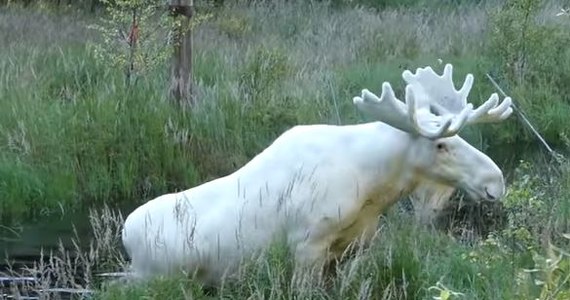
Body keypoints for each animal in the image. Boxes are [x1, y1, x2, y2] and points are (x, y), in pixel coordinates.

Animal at [120, 62, 510, 284]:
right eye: (441, 144)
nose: (496, 181)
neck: (375, 186)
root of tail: (125, 235)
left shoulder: (353, 244)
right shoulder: (306, 244)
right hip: (155, 280)